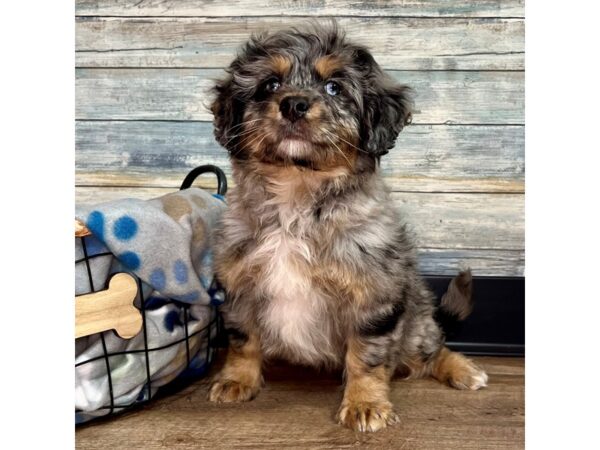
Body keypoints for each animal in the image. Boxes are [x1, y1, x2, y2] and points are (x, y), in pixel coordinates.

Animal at [206, 23, 488, 432]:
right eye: (270, 84)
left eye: (334, 87)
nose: (293, 104)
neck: (298, 193)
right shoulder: (239, 284)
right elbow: (244, 340)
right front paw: (236, 380)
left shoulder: (374, 296)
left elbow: (367, 357)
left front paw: (365, 404)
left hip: (415, 322)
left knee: (430, 350)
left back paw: (464, 371)